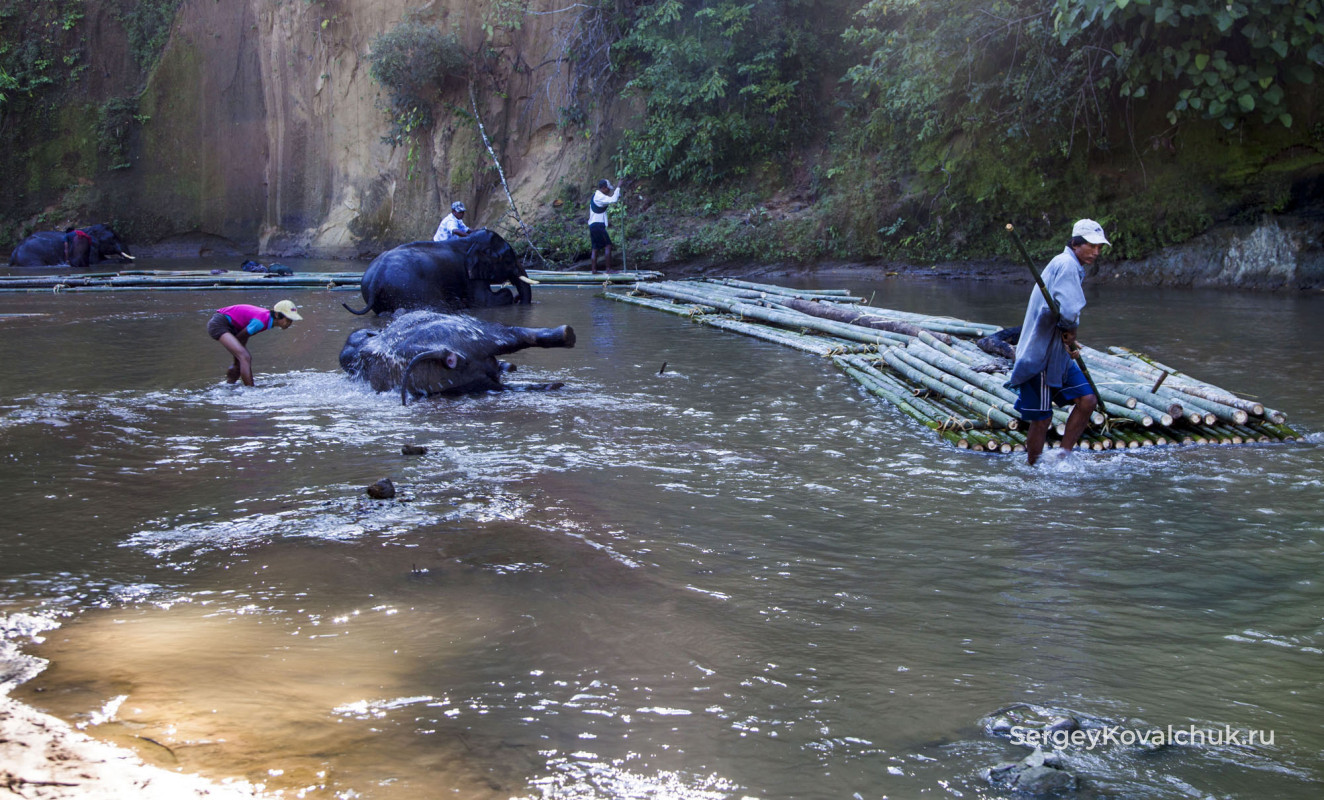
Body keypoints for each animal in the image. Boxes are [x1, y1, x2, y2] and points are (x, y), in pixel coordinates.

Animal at [343, 229, 534, 315]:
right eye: (508, 258)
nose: (520, 300)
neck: (469, 240)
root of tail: (376, 278)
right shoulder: (470, 277)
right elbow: (484, 301)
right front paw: (511, 296)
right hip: (409, 289)